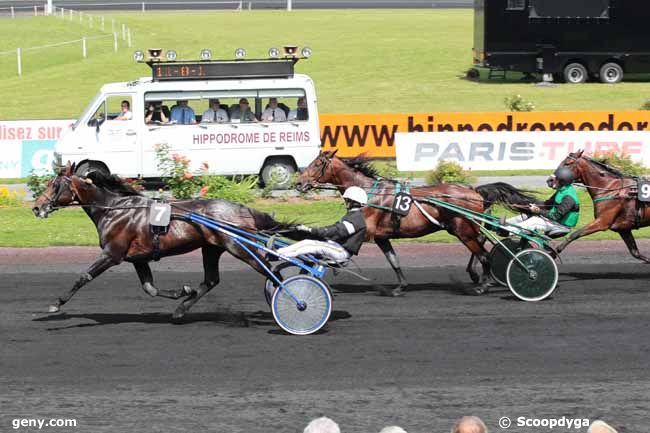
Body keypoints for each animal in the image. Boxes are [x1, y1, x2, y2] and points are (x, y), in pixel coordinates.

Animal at [33, 160, 298, 318]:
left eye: (55, 184)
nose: (36, 208)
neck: (115, 209)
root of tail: (242, 209)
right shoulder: (138, 258)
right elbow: (150, 288)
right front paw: (182, 291)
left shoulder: (112, 254)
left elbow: (83, 277)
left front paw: (56, 303)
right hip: (211, 248)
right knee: (211, 280)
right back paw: (181, 309)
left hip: (238, 247)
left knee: (271, 270)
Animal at [294, 150, 536, 296]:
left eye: (317, 164)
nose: (298, 182)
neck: (369, 193)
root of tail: (474, 191)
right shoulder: (382, 237)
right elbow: (393, 260)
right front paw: (400, 286)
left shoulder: (367, 231)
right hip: (466, 229)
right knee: (482, 245)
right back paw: (477, 276)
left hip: (463, 230)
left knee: (484, 254)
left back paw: (484, 284)